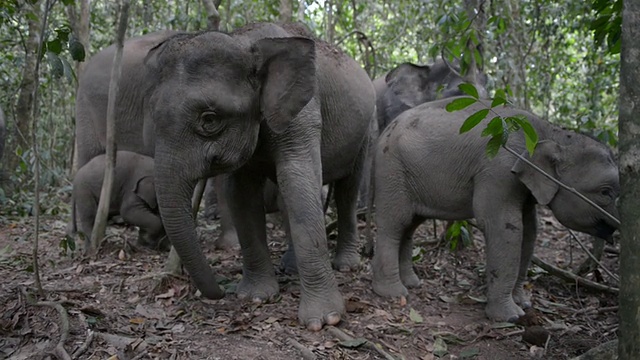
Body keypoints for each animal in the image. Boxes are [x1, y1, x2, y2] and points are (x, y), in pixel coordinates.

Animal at [370, 96, 620, 324]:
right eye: (606, 192)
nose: (616, 226)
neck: (551, 131)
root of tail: (385, 129)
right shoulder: (498, 169)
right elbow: (503, 226)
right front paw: (511, 317)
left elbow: (530, 230)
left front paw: (523, 303)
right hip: (391, 169)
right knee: (395, 223)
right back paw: (393, 292)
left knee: (410, 225)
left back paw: (412, 282)